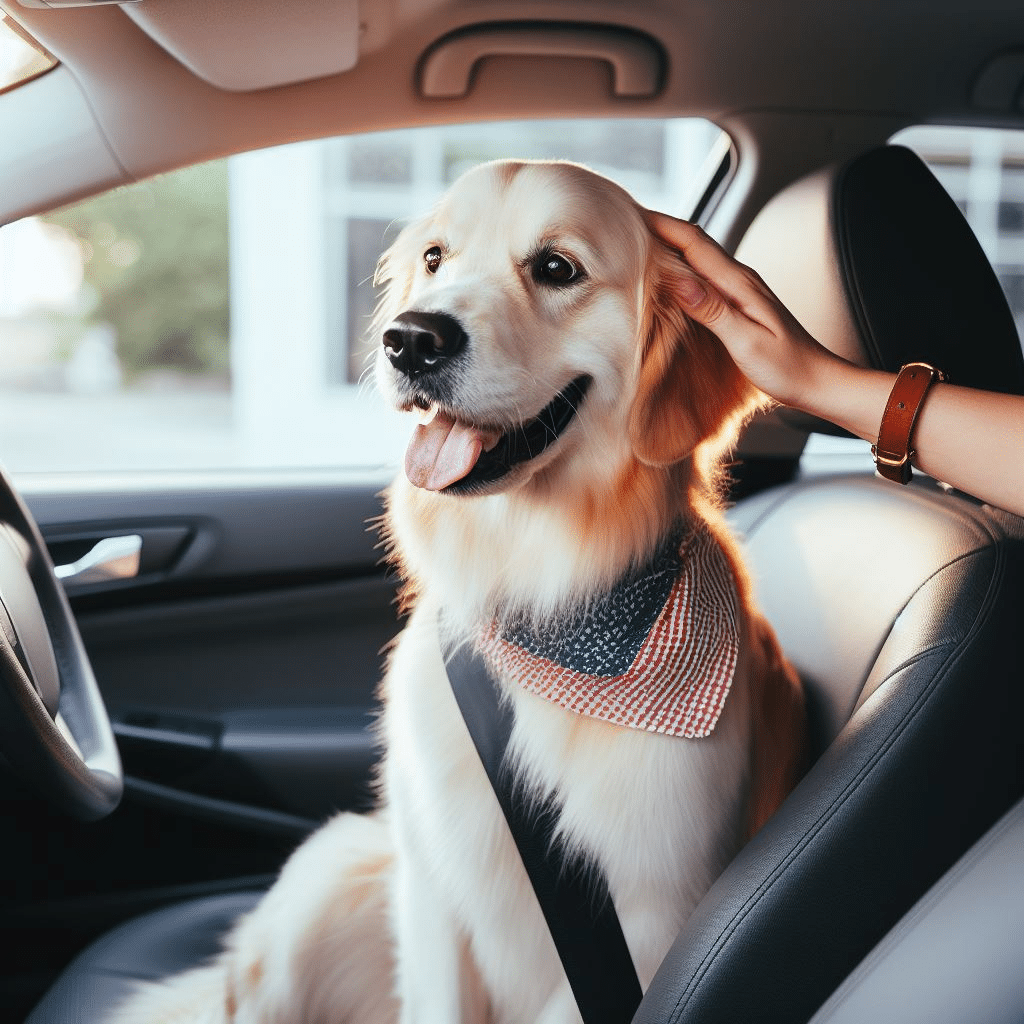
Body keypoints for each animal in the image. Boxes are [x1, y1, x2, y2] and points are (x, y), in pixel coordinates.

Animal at [108, 159, 802, 1024]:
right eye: (436, 258)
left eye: (556, 267)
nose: (409, 338)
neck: (542, 606)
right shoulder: (432, 883)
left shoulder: (653, 914)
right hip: (327, 871)